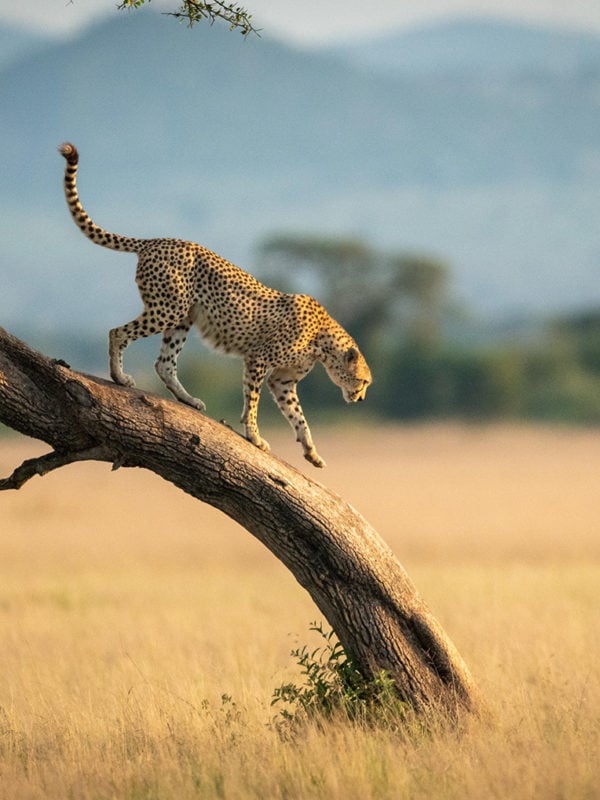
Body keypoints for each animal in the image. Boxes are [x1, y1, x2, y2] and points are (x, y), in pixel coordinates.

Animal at [59, 144, 370, 468]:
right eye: (363, 381)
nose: (360, 398)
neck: (323, 341)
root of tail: (157, 240)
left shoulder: (283, 380)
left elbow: (298, 415)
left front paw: (311, 451)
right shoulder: (258, 359)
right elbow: (253, 401)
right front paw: (254, 436)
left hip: (182, 317)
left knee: (164, 363)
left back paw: (188, 399)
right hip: (167, 309)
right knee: (118, 333)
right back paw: (119, 377)